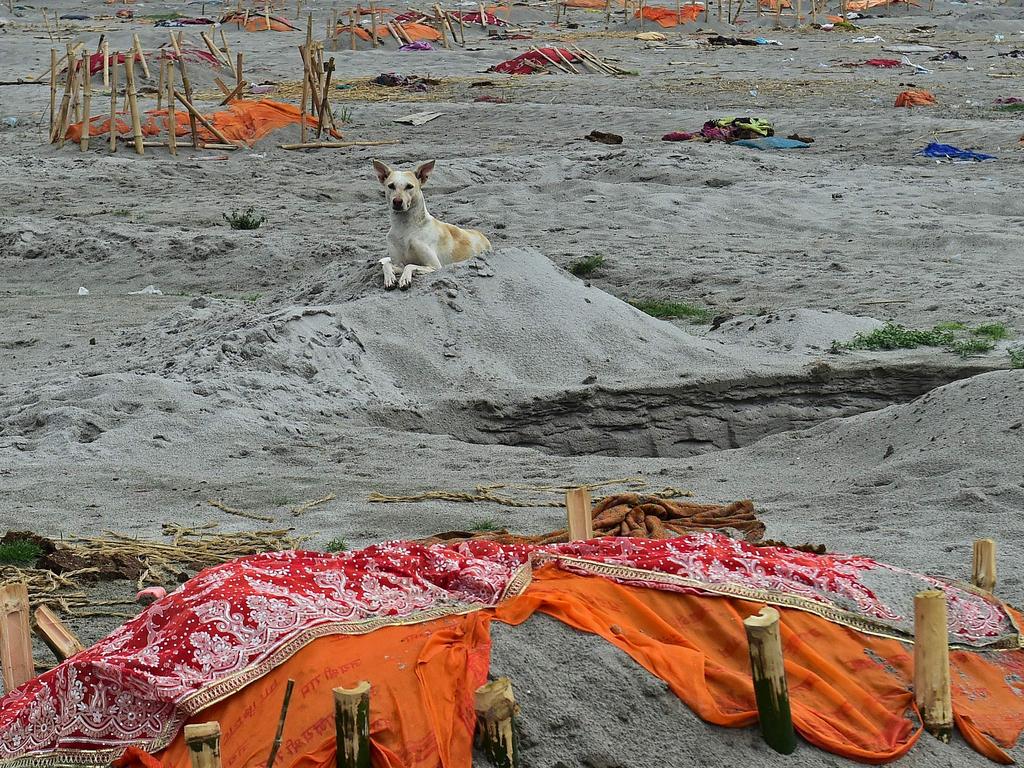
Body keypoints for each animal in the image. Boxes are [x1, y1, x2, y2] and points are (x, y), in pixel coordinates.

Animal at [372, 157, 491, 290]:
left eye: (409, 186)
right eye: (391, 186)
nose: (397, 201)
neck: (405, 227)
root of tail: (482, 235)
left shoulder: (434, 266)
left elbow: (410, 265)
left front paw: (404, 279)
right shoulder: (398, 263)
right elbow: (387, 265)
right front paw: (390, 279)